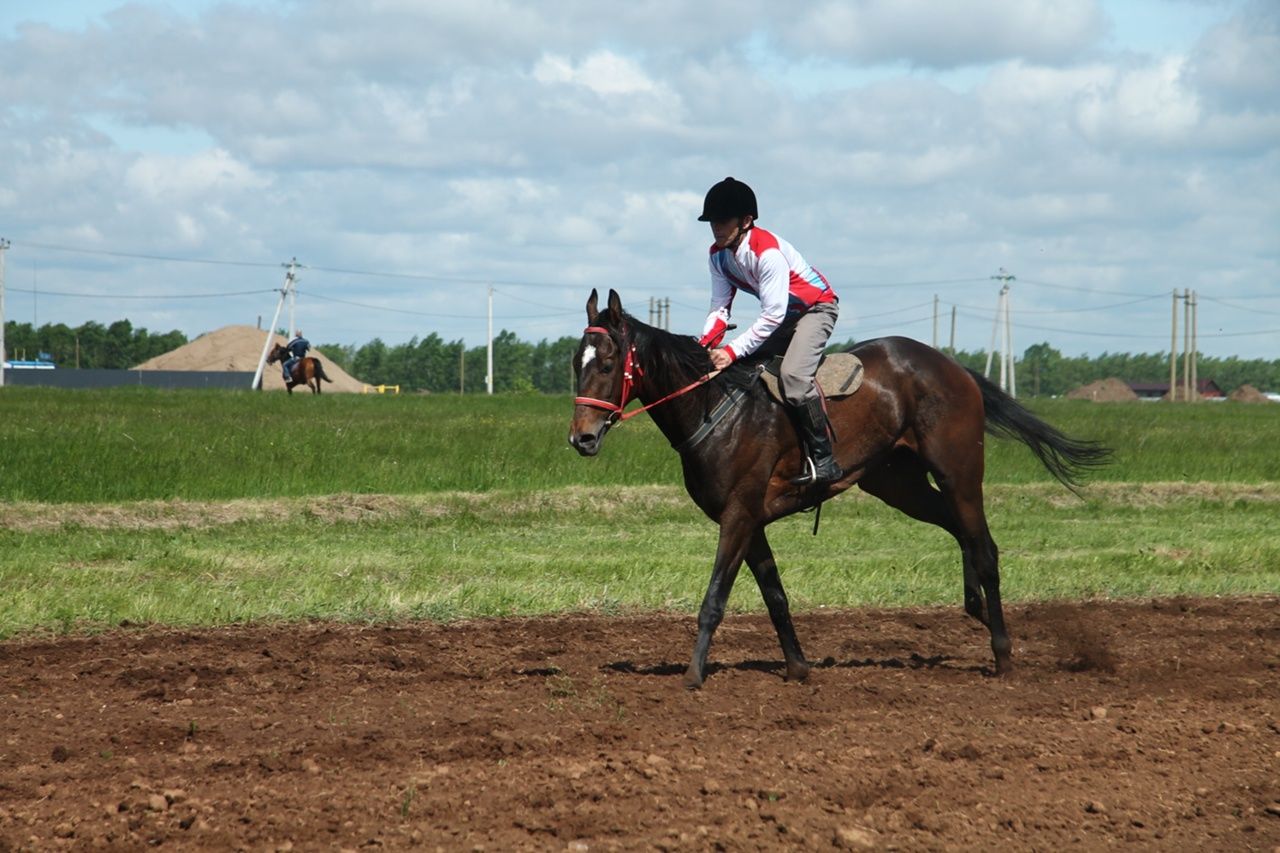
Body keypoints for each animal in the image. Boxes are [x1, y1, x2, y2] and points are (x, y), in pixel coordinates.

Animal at [570, 289, 1111, 686]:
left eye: (608, 363)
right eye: (577, 361)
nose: (581, 438)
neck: (714, 407)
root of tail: (955, 368)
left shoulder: (738, 516)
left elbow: (714, 600)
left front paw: (693, 676)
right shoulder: (750, 520)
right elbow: (775, 596)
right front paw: (798, 668)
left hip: (959, 473)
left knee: (984, 546)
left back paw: (1002, 654)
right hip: (898, 484)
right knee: (961, 532)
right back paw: (973, 607)